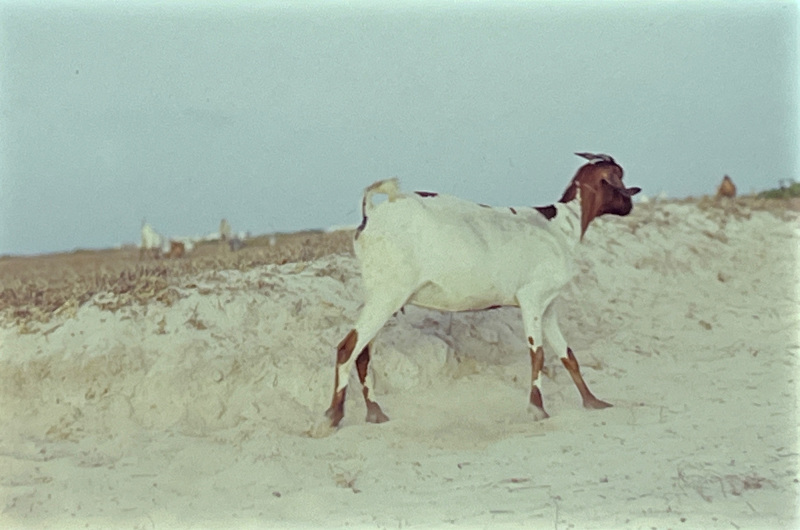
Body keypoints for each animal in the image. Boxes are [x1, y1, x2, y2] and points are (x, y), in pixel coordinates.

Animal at [325, 153, 641, 427]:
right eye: (618, 176)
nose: (630, 205)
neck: (561, 227)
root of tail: (372, 215)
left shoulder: (548, 305)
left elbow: (568, 355)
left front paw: (593, 402)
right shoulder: (531, 298)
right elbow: (537, 354)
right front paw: (537, 408)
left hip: (381, 297)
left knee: (362, 353)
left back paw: (375, 413)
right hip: (387, 294)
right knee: (348, 347)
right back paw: (333, 416)